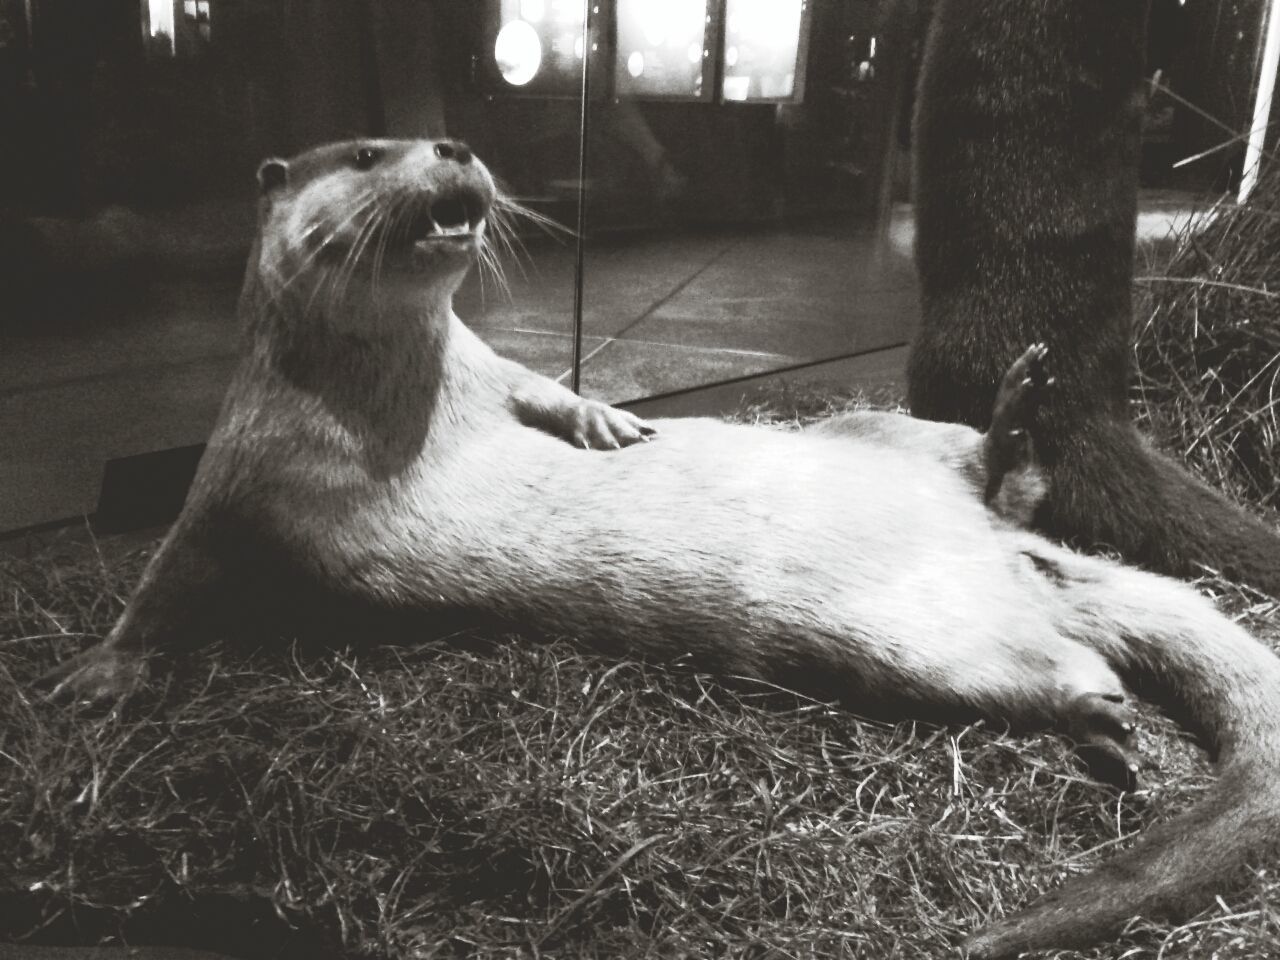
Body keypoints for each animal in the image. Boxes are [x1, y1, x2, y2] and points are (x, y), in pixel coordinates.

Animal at [45, 136, 1280, 960]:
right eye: (361, 149)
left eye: (428, 134)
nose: (452, 146)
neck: (401, 406)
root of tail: (984, 547)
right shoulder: (239, 465)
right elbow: (167, 574)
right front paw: (99, 676)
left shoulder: (487, 367)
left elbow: (546, 386)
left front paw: (606, 423)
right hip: (919, 629)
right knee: (1052, 641)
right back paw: (1097, 714)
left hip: (882, 448)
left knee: (1000, 492)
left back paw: (1024, 426)